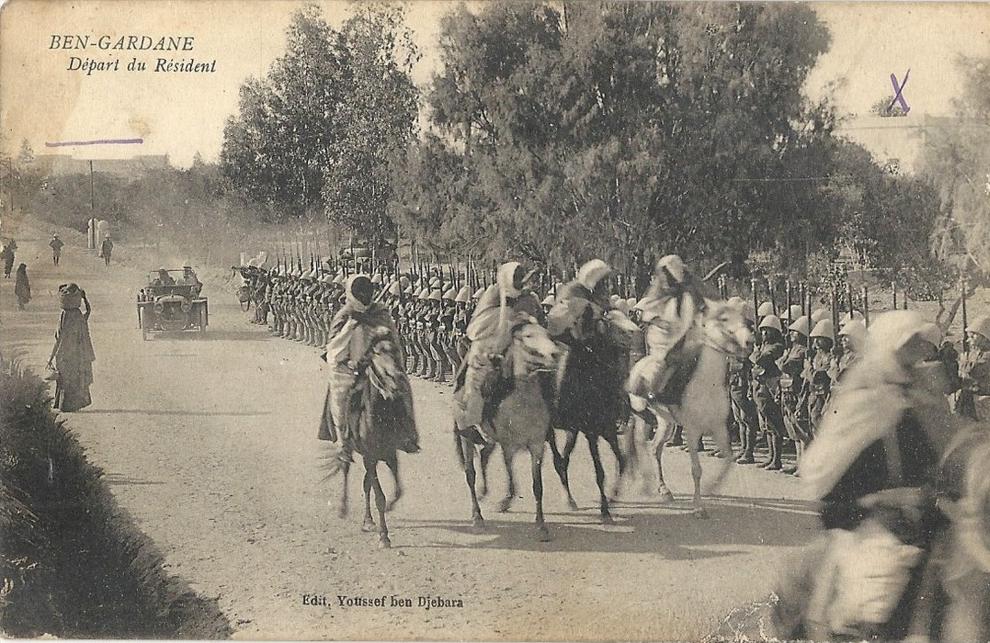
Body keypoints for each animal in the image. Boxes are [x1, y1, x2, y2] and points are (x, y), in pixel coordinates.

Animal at [456, 316, 560, 544]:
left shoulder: (537, 446)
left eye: (548, 334)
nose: (555, 354)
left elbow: (537, 486)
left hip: (490, 439)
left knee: (484, 456)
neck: (524, 404)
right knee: (470, 473)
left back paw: (484, 491)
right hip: (466, 437)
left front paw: (541, 526)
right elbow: (510, 474)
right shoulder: (508, 445)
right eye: (528, 335)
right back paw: (477, 517)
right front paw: (505, 501)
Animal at [548, 304, 640, 524]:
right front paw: (605, 510)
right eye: (610, 322)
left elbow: (622, 460)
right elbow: (600, 472)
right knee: (558, 460)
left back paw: (570, 500)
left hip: (573, 430)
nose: (635, 332)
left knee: (563, 460)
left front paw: (612, 499)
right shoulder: (591, 432)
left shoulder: (606, 430)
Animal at [640, 300, 756, 520]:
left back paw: (664, 490)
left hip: (666, 421)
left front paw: (713, 487)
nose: (749, 342)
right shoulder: (693, 430)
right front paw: (699, 507)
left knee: (655, 448)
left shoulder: (720, 428)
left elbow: (728, 461)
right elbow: (696, 470)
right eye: (724, 318)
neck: (707, 384)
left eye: (746, 319)